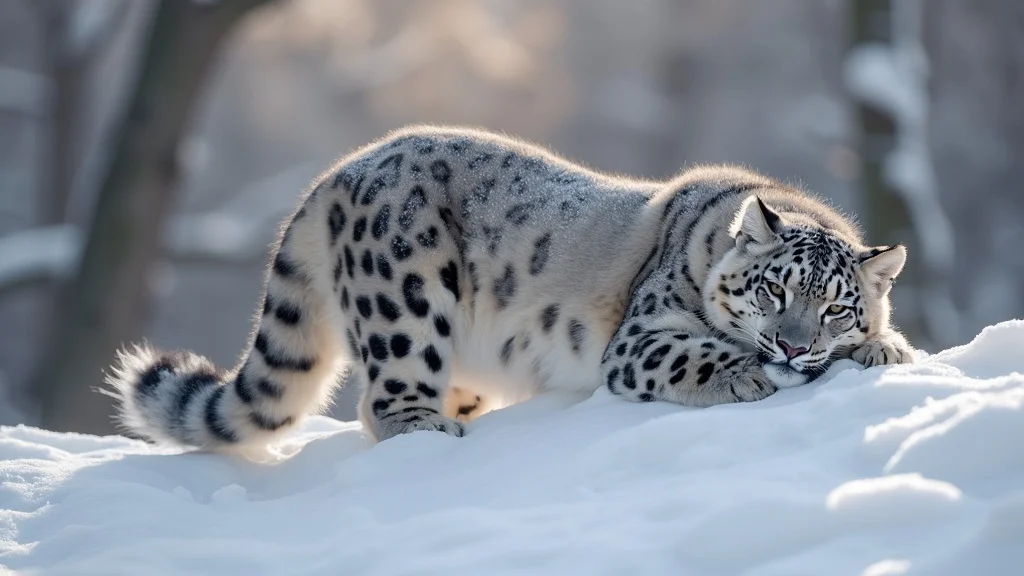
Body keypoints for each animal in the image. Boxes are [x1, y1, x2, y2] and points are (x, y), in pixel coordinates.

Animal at [106, 125, 914, 450]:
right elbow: (697, 354)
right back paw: (428, 430)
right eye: (775, 291)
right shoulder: (640, 339)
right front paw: (750, 374)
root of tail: (343, 167)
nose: (793, 346)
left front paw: (888, 351)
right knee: (382, 399)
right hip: (405, 301)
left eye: (837, 306)